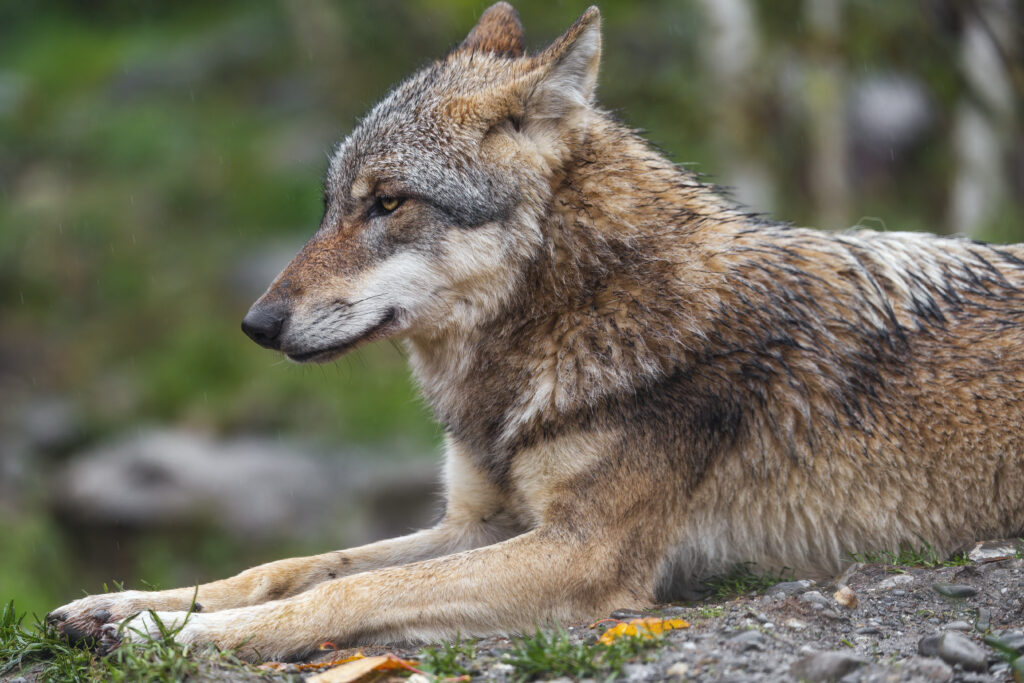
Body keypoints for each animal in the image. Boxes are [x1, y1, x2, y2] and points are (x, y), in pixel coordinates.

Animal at [49, 3, 1024, 661]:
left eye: (388, 203)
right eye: (331, 206)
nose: (256, 324)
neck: (575, 316)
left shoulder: (580, 554)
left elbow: (349, 589)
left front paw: (174, 634)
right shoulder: (477, 521)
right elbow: (296, 564)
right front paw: (128, 604)